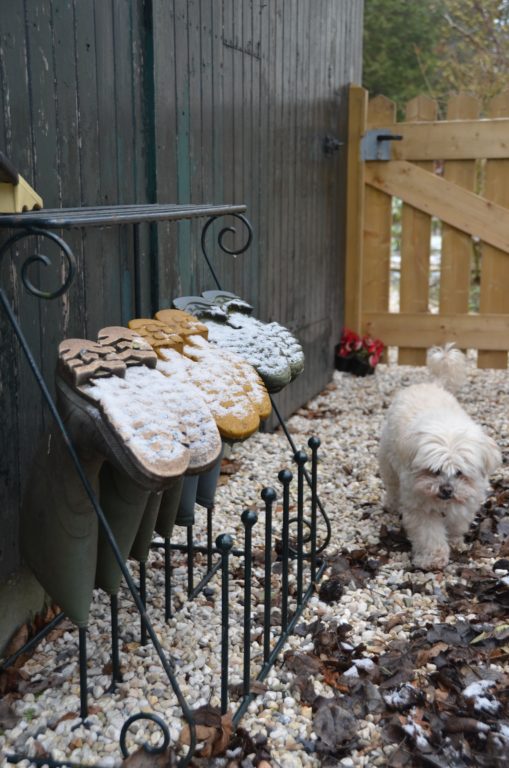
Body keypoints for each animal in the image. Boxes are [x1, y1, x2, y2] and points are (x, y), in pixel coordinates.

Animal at [380, 344, 498, 568]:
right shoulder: (420, 509)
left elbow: (457, 523)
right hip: (388, 464)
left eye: (460, 473)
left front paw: (455, 540)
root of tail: (432, 384)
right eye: (433, 470)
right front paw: (433, 559)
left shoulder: (466, 501)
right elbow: (429, 535)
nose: (446, 489)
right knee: (392, 487)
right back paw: (392, 504)